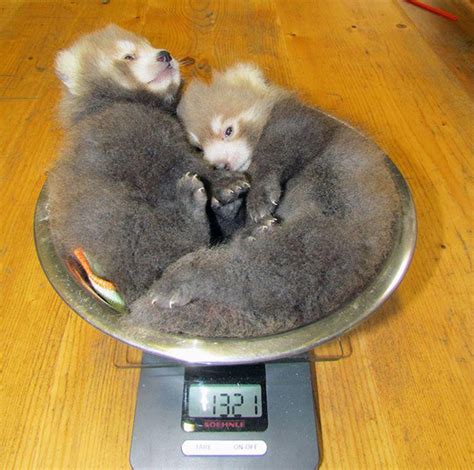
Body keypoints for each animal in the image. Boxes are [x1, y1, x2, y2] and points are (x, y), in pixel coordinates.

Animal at [131, 64, 402, 338]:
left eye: (228, 130)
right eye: (198, 148)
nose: (222, 164)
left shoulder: (300, 123)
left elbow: (281, 149)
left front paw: (261, 193)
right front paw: (228, 202)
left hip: (323, 231)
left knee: (250, 273)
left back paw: (176, 282)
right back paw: (251, 232)